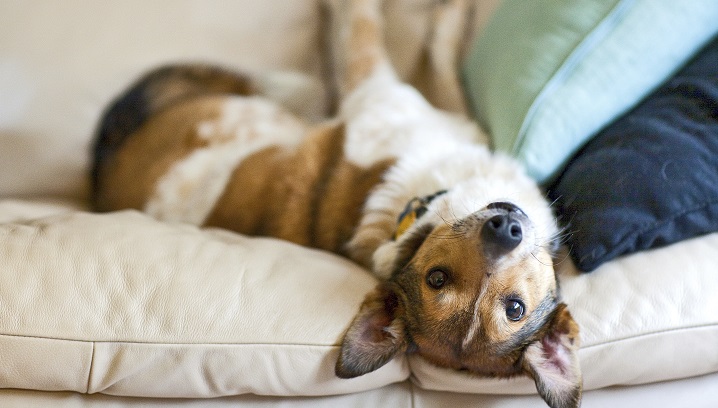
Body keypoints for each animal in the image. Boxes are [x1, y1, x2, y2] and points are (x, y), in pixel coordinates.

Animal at [91, 1, 584, 406]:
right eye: (437, 279)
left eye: (514, 308)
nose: (506, 229)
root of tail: (105, 166)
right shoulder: (395, 94)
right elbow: (394, 36)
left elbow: (396, 38)